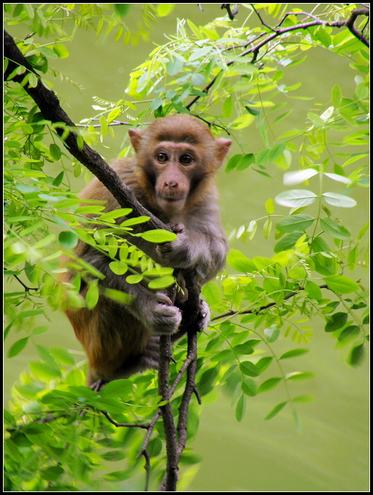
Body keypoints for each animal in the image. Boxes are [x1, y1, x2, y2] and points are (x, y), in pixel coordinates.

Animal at [61, 114, 230, 390]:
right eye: (162, 157)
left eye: (186, 159)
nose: (171, 181)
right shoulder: (116, 193)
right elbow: (87, 260)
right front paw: (150, 307)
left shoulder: (205, 197)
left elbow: (217, 249)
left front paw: (184, 248)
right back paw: (125, 364)